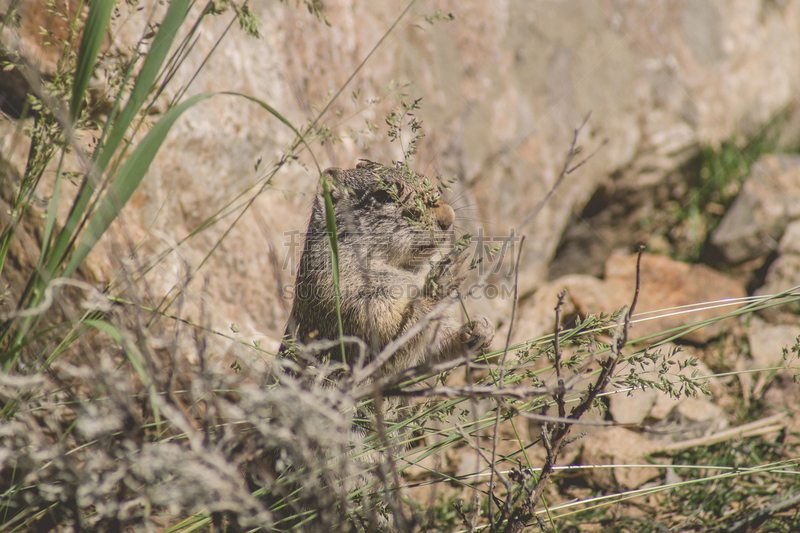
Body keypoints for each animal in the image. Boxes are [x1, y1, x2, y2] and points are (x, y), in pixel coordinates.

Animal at [282, 162, 494, 378]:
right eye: (385, 196)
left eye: (427, 183)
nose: (449, 217)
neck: (405, 267)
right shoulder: (348, 299)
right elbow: (392, 335)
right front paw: (441, 281)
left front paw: (481, 329)